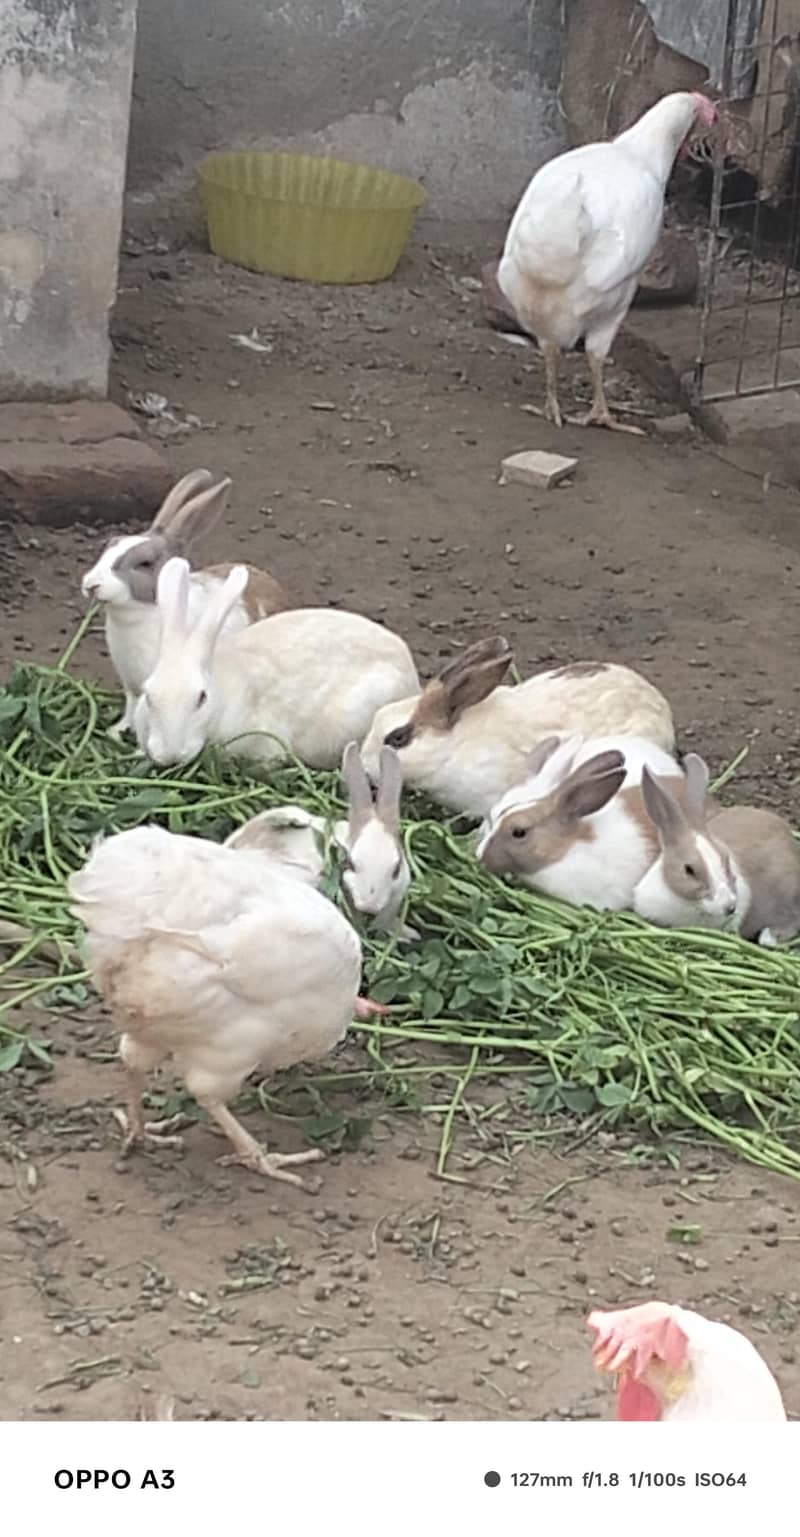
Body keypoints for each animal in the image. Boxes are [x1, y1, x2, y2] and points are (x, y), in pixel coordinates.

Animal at [81, 469, 289, 739]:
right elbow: (130, 708)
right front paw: (116, 731)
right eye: (110, 544)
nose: (90, 584)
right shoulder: (132, 687)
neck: (140, 613)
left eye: (145, 563)